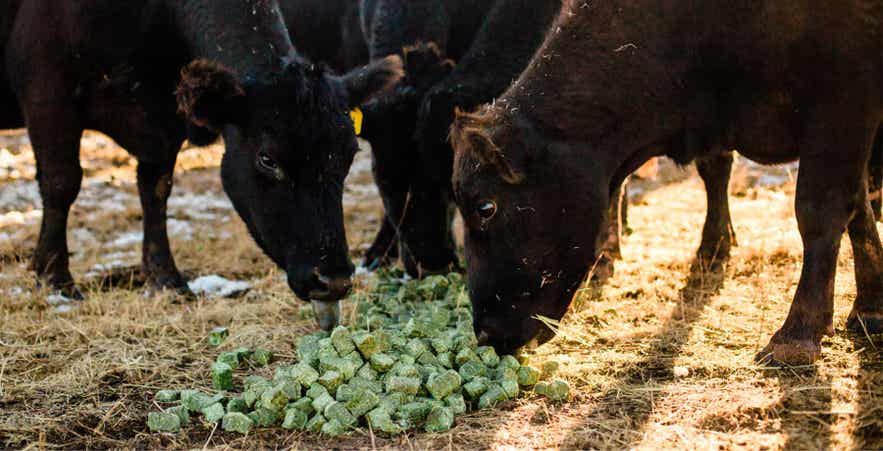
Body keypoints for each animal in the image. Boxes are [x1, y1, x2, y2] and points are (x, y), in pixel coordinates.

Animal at [1, 0, 402, 328]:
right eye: (267, 158)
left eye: (349, 154)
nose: (333, 280)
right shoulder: (47, 89)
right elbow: (61, 182)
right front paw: (55, 279)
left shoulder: (165, 119)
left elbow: (156, 188)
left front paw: (166, 279)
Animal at [451, 0, 883, 366]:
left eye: (485, 207)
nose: (486, 333)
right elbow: (858, 206)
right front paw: (870, 307)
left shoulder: (843, 104)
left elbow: (821, 211)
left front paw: (796, 337)